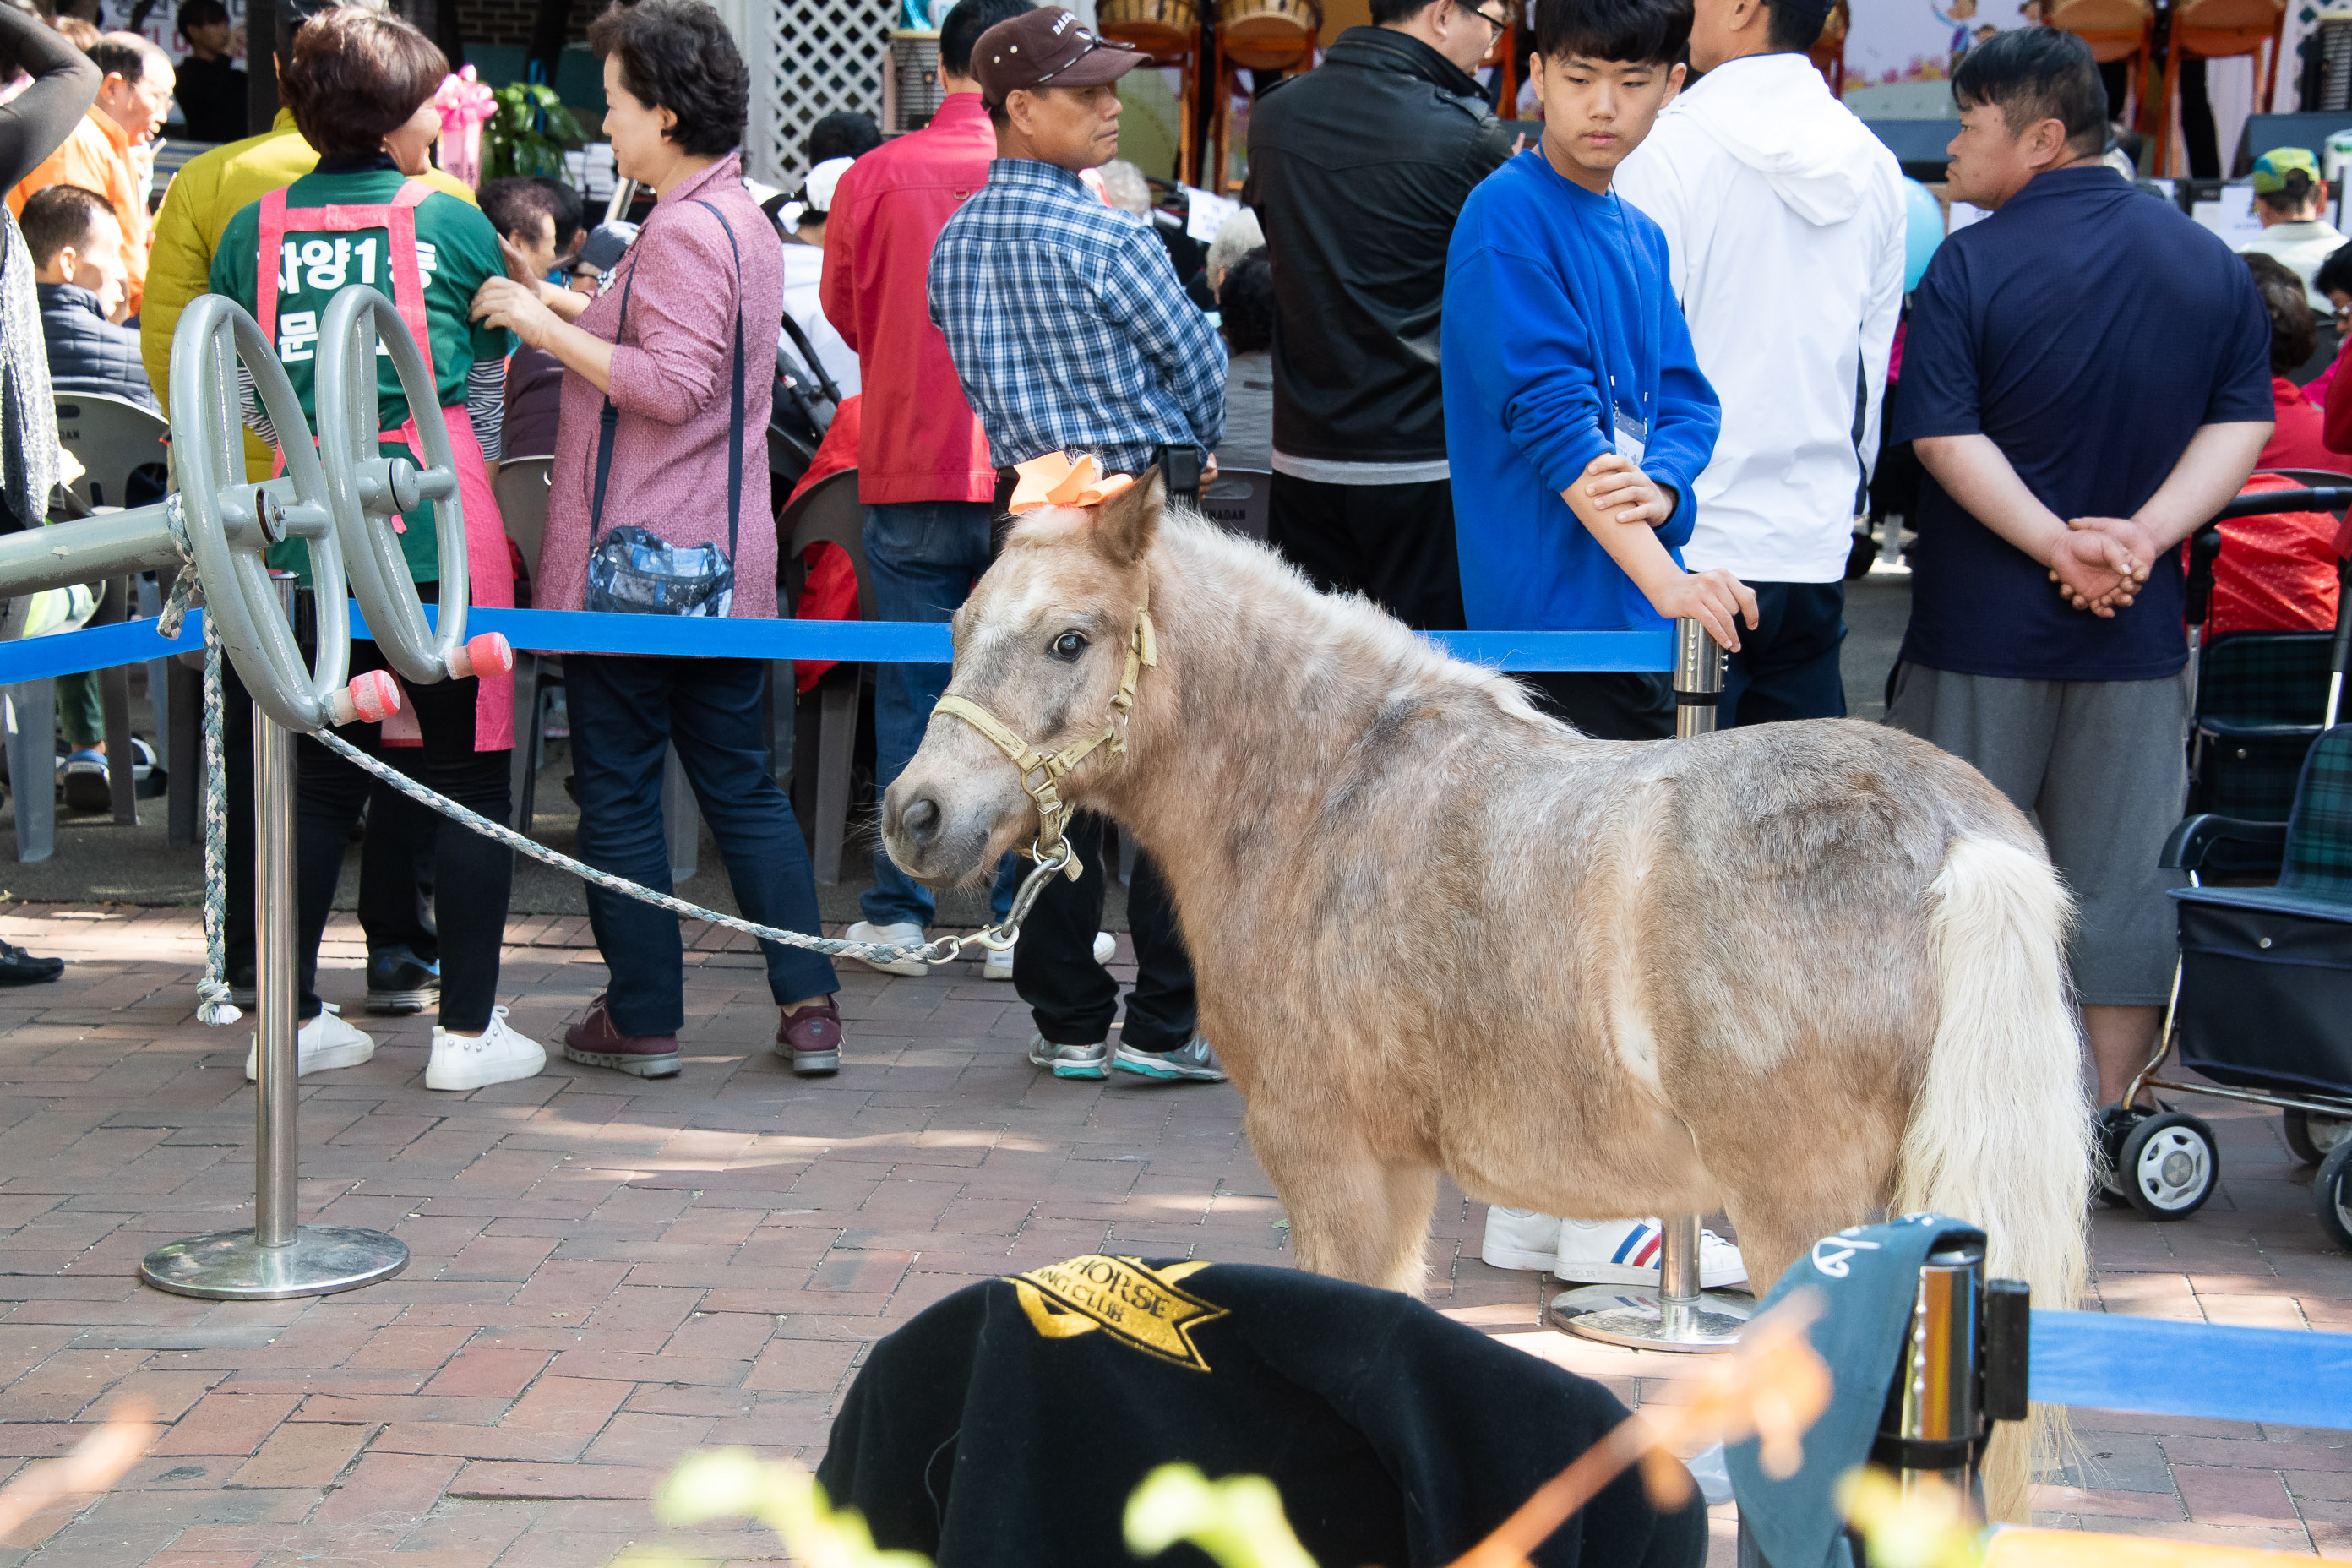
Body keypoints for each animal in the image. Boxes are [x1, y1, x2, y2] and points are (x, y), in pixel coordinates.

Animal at [884, 479, 2098, 1523]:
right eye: (956, 630)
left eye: (1070, 639)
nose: (914, 816)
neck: (1328, 795)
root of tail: (1960, 846)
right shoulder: (1395, 1170)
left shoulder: (1330, 1157)